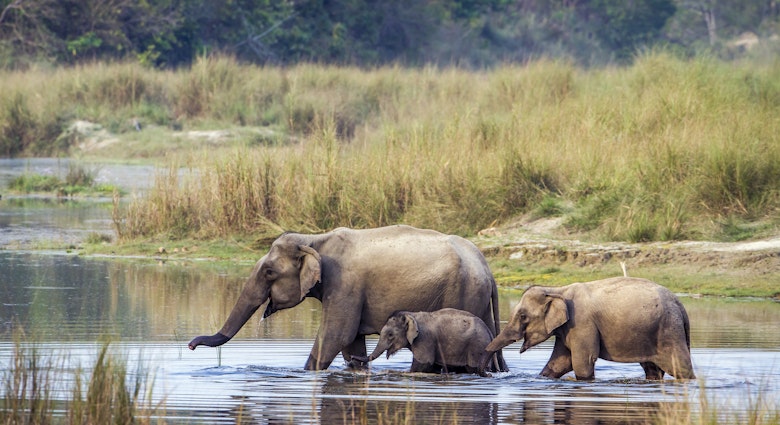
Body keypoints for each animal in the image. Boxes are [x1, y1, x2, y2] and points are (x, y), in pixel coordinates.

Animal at [355, 308, 495, 376]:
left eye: (390, 335)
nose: (352, 358)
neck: (412, 315)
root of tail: (489, 331)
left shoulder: (424, 339)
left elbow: (423, 364)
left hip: (477, 347)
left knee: (472, 367)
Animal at [482, 277, 695, 380]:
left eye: (523, 316)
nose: (488, 373)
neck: (557, 290)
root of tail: (680, 305)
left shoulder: (582, 323)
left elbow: (582, 361)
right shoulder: (567, 328)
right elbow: (560, 362)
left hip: (669, 331)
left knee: (680, 367)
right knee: (652, 369)